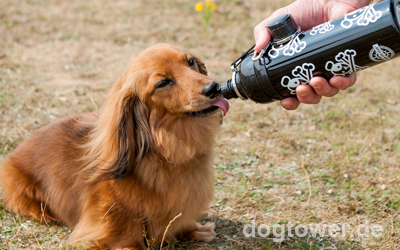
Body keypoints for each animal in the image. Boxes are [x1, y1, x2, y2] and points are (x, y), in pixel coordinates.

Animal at [0, 44, 228, 249]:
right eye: (163, 82)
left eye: (190, 62)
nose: (214, 87)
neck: (168, 149)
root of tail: (13, 154)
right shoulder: (113, 214)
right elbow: (128, 233)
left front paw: (193, 230)